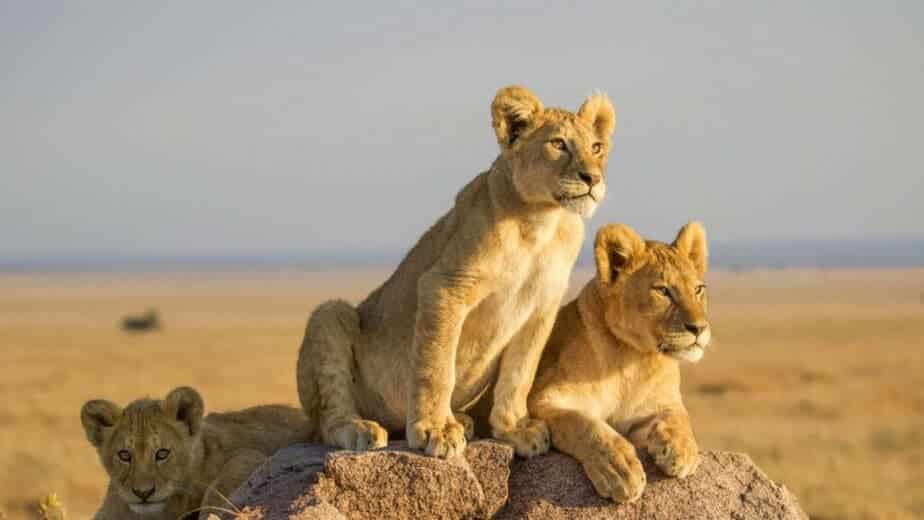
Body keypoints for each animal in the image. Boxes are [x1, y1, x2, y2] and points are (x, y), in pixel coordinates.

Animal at [297, 85, 616, 458]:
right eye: (559, 144)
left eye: (597, 147)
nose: (593, 178)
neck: (540, 222)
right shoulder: (445, 285)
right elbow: (436, 366)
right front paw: (435, 430)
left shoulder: (541, 307)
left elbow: (519, 373)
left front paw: (515, 428)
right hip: (329, 314)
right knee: (327, 419)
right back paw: (360, 428)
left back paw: (461, 420)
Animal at [529, 221, 711, 502]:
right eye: (663, 291)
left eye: (698, 289)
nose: (699, 328)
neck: (632, 359)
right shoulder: (541, 399)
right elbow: (584, 424)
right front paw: (620, 470)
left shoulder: (658, 405)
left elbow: (680, 416)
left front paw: (682, 451)